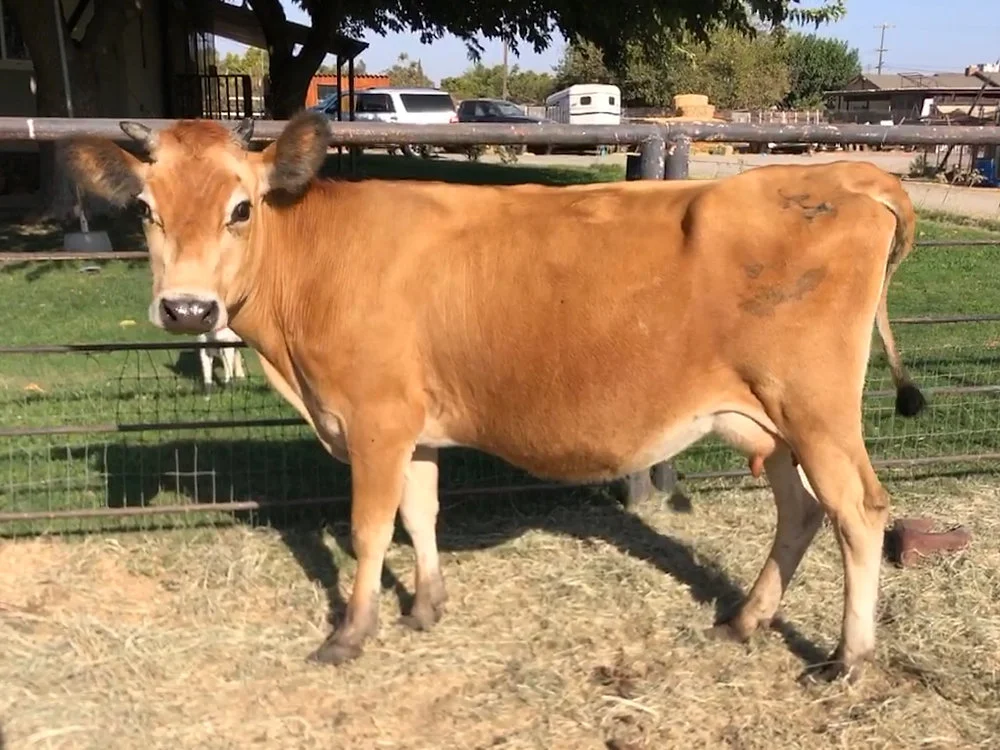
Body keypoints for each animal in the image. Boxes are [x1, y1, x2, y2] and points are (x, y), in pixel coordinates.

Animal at [64, 113, 926, 683]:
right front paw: (425, 609)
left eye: (240, 207)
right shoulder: (412, 424)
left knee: (858, 512)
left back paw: (845, 660)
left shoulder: (374, 418)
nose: (188, 310)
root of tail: (846, 174)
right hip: (764, 419)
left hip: (816, 408)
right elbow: (421, 513)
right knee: (801, 511)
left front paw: (350, 634)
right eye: (145, 209)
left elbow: (370, 529)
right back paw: (744, 621)